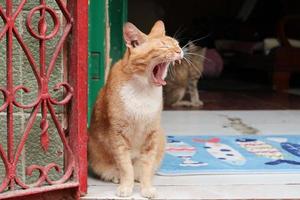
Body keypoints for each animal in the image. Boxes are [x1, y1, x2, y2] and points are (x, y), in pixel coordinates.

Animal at [88, 20, 183, 198]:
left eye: (177, 44)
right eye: (164, 46)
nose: (180, 51)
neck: (143, 90)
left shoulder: (152, 135)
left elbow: (146, 167)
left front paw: (146, 188)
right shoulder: (118, 135)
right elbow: (125, 167)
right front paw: (126, 186)